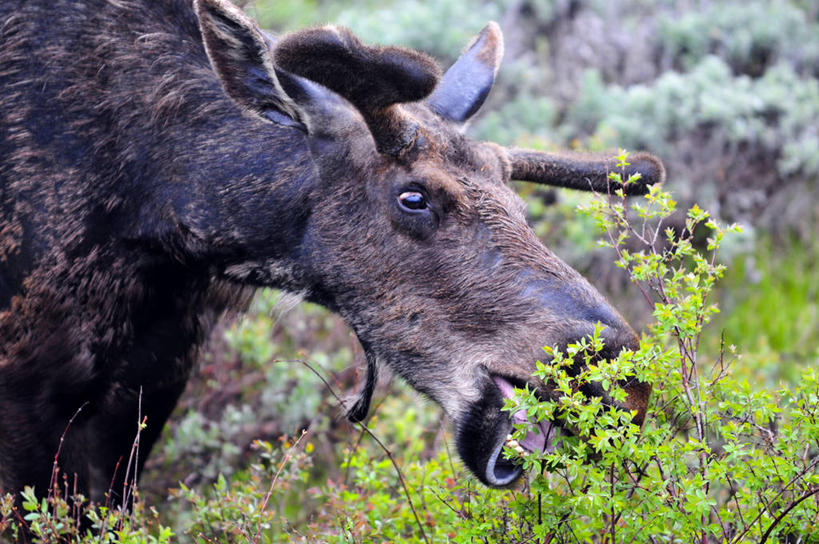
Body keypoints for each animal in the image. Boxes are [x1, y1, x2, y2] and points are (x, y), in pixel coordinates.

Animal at [0, 0, 664, 508]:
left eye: (518, 201)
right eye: (413, 197)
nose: (623, 386)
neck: (154, 209)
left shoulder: (150, 386)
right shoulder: (30, 396)